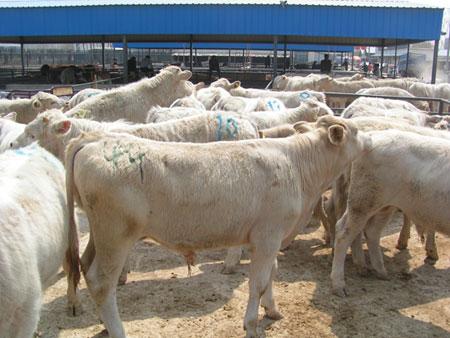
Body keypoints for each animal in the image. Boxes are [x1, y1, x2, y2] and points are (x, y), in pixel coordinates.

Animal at [65, 115, 370, 336]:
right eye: (356, 131)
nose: (369, 139)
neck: (298, 166)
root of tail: (95, 139)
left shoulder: (268, 240)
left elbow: (271, 273)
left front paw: (272, 310)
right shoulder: (268, 236)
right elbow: (258, 283)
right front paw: (252, 326)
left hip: (100, 235)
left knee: (85, 265)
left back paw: (105, 324)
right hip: (115, 235)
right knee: (101, 282)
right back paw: (117, 330)